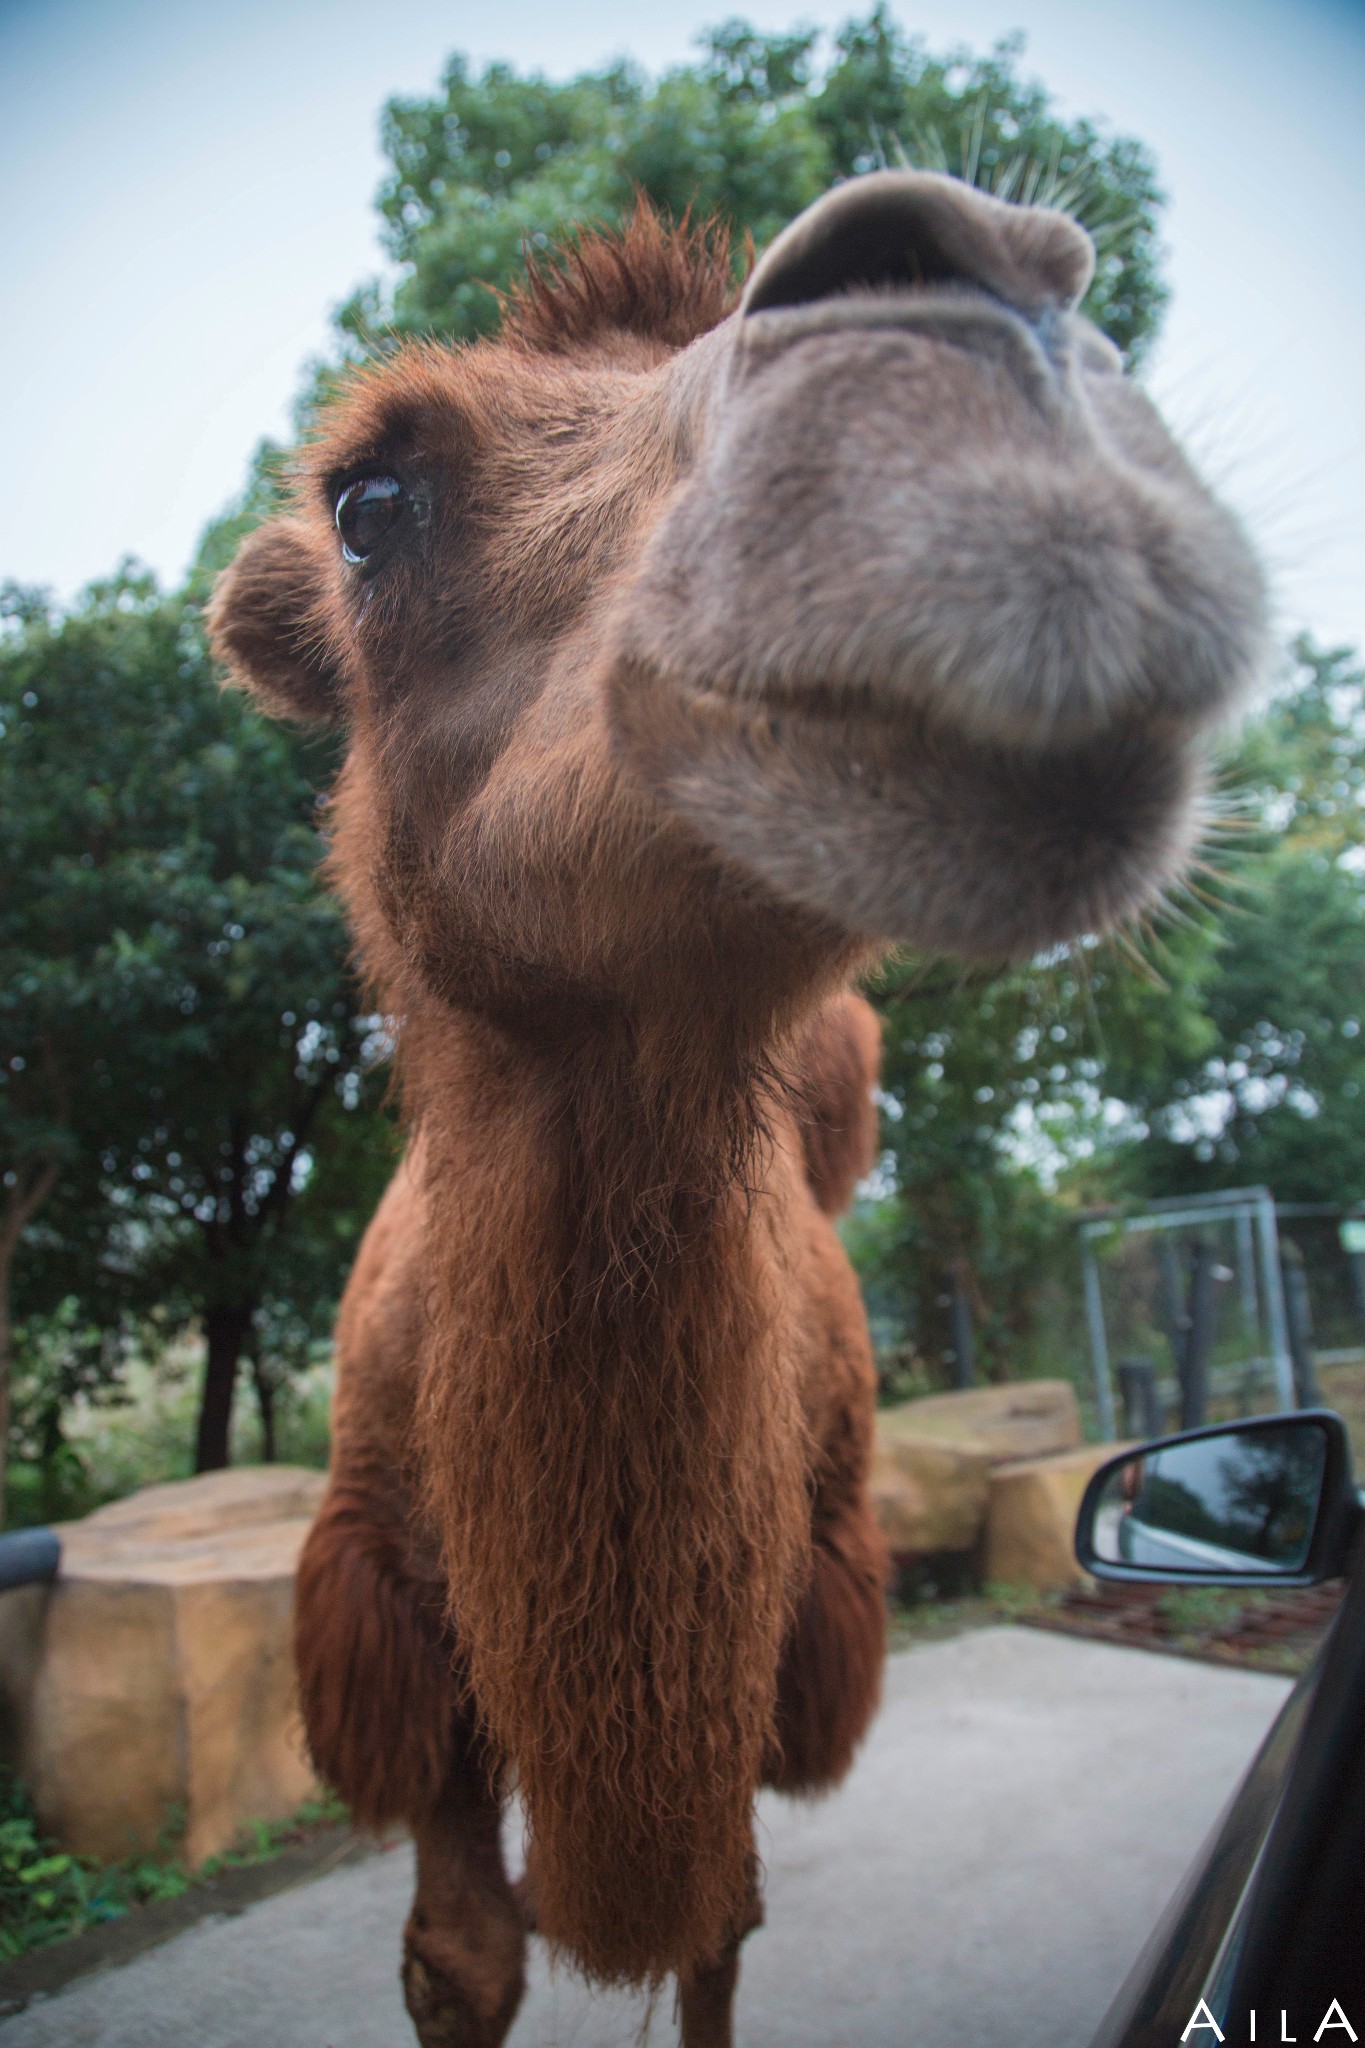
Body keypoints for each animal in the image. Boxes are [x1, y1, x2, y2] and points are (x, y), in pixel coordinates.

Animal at [208, 180, 1268, 2048]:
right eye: (369, 501)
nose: (971, 309)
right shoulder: (389, 1619)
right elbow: (462, 1952)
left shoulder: (784, 1626)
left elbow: (719, 1918)